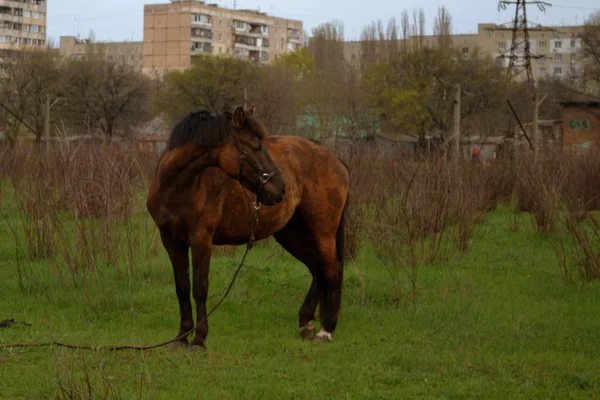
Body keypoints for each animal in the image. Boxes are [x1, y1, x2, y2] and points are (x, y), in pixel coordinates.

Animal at [145, 104, 350, 352]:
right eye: (255, 145)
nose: (281, 188)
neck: (177, 187)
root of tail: (335, 159)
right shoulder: (171, 241)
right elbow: (182, 288)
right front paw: (181, 337)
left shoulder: (201, 240)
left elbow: (200, 288)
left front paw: (199, 340)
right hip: (291, 233)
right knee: (317, 268)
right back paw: (305, 324)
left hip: (322, 231)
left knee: (332, 269)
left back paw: (326, 330)